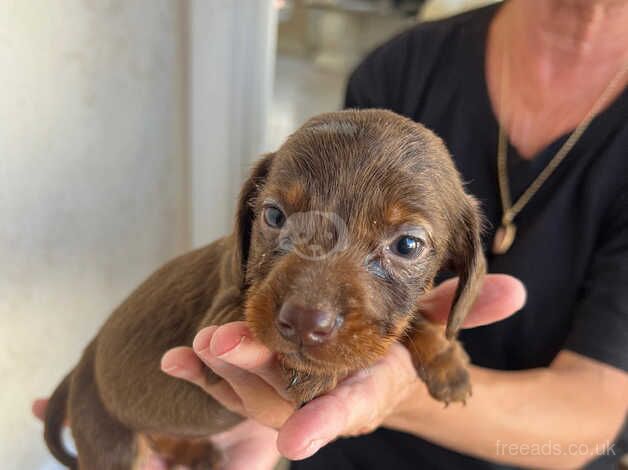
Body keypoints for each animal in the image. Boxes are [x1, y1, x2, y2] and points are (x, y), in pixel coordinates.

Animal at [44, 108, 486, 468]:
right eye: (274, 216)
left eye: (407, 245)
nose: (304, 323)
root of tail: (84, 361)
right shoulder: (219, 320)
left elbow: (400, 326)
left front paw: (445, 357)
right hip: (110, 440)